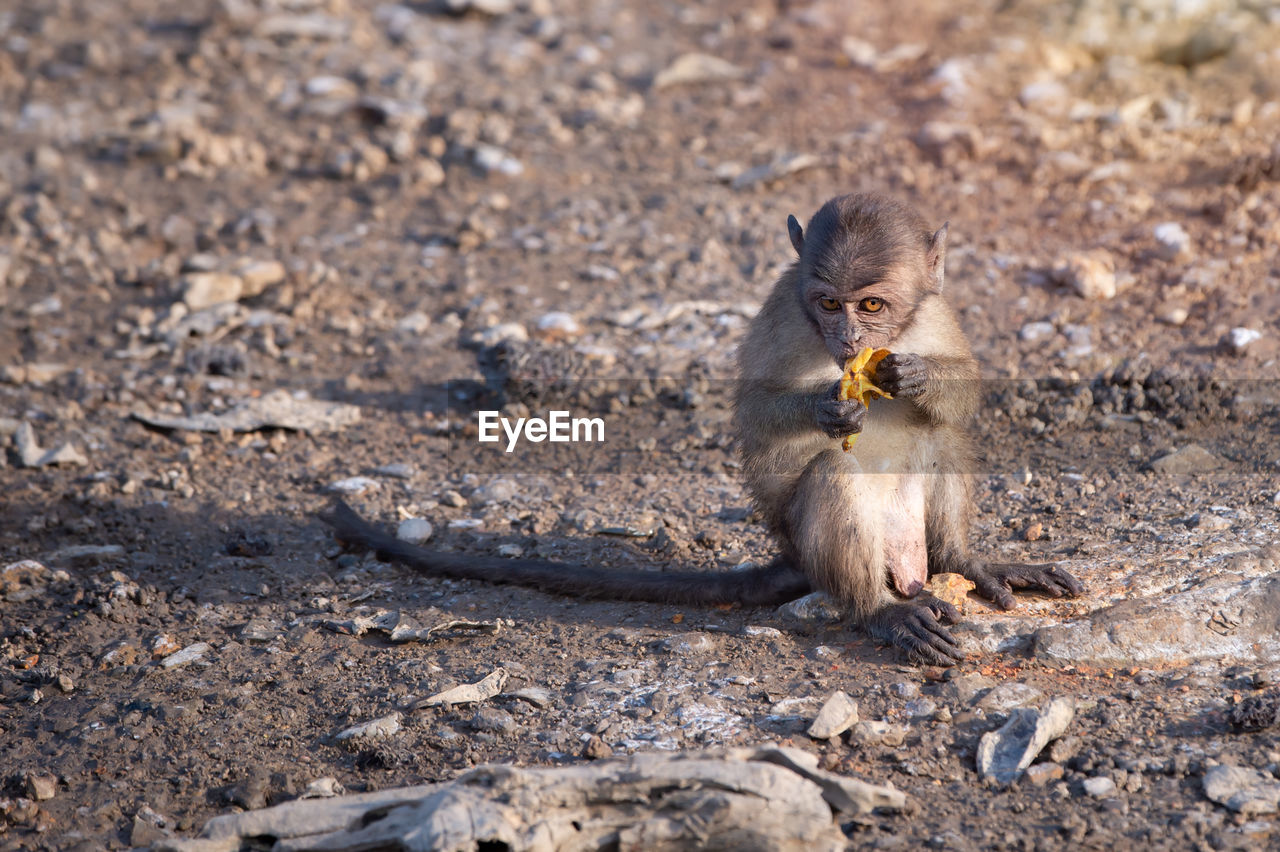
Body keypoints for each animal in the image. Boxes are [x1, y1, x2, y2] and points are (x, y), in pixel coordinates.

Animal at [322, 191, 1080, 665]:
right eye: (827, 302)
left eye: (871, 305)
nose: (846, 338)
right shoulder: (782, 313)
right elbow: (755, 413)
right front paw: (826, 408)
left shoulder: (936, 310)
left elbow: (965, 392)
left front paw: (914, 378)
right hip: (811, 540)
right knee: (835, 477)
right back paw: (879, 610)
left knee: (940, 440)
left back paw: (962, 559)